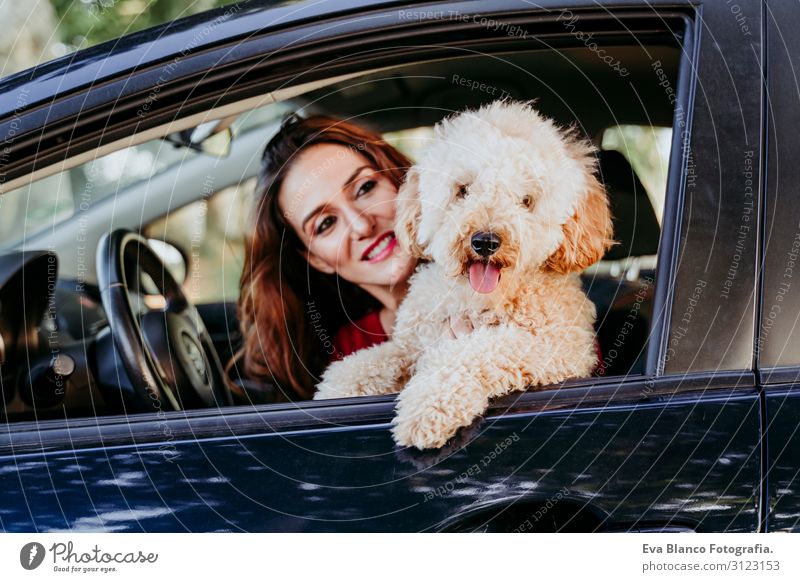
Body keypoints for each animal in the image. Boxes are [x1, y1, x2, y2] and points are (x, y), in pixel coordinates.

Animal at [312, 99, 612, 452]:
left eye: (526, 200)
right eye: (463, 190)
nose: (485, 241)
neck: (476, 299)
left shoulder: (560, 348)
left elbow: (470, 354)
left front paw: (427, 409)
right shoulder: (413, 344)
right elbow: (368, 362)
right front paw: (332, 391)